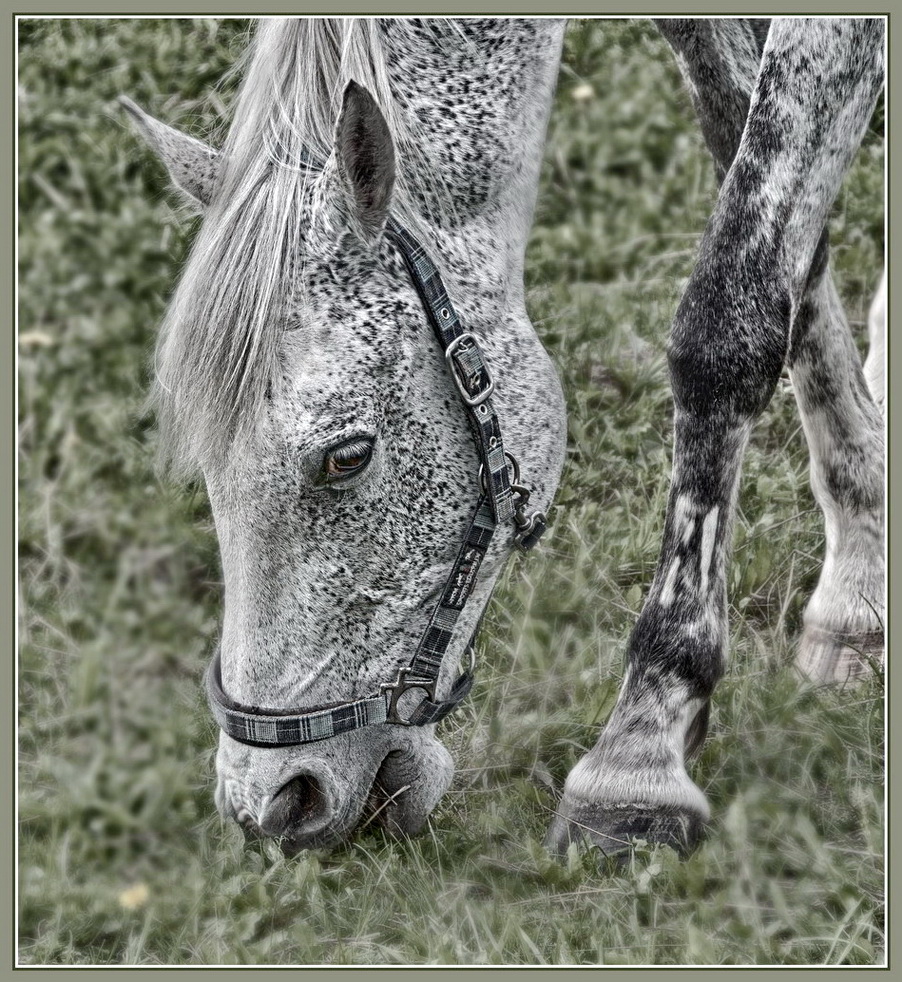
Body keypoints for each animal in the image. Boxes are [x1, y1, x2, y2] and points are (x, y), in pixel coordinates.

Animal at [123, 17, 888, 860]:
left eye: (347, 456)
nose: (273, 804)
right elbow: (796, 257)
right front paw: (864, 569)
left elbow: (731, 323)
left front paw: (641, 745)